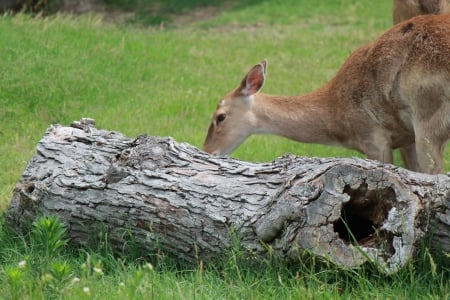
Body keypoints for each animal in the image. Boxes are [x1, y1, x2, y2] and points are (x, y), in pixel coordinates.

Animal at [202, 13, 450, 173]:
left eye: (220, 117)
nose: (207, 151)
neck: (336, 120)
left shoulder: (372, 136)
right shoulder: (405, 137)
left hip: (428, 116)